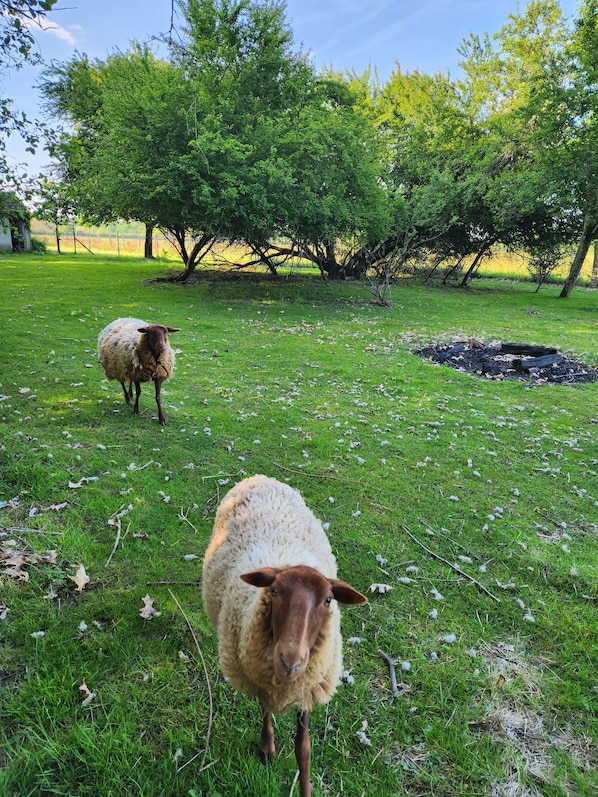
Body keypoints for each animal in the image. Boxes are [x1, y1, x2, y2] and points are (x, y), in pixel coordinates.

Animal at [202, 474, 367, 797]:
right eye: (275, 591)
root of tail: (258, 477)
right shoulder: (261, 675)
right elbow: (265, 709)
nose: (290, 662)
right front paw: (267, 747)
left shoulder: (307, 687)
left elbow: (303, 749)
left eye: (328, 600)